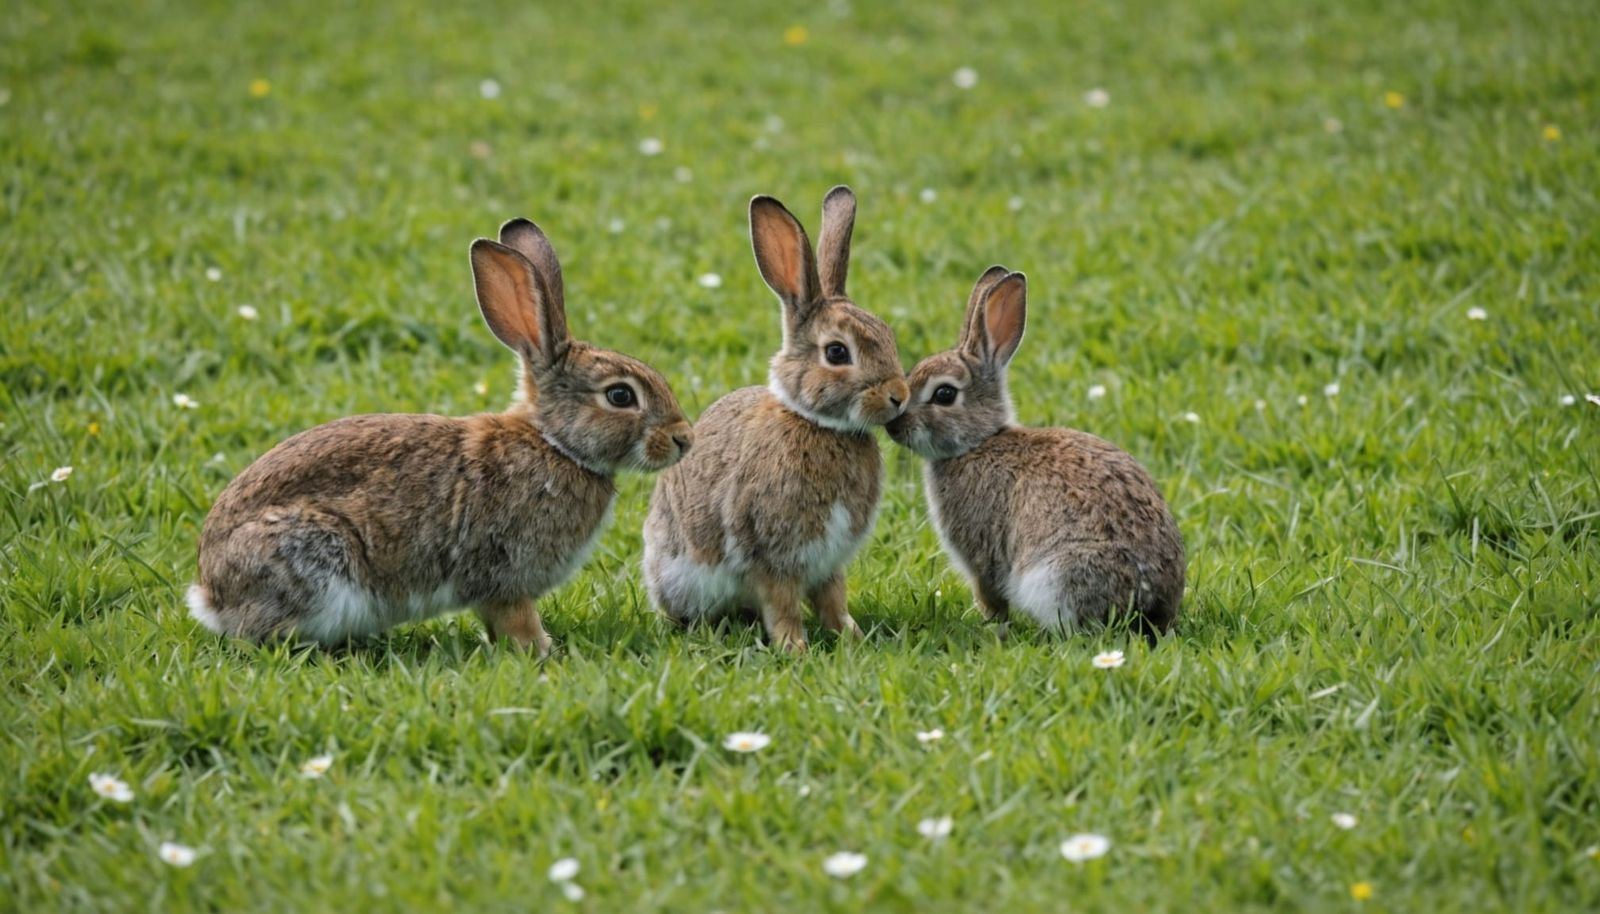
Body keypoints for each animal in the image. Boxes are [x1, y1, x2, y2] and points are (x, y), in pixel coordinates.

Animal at [185, 218, 693, 654]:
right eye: (620, 396)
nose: (683, 439)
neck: (554, 444)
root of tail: (210, 594)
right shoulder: (503, 574)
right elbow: (516, 618)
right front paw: (542, 651)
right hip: (314, 556)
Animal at [642, 186, 910, 653]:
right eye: (837, 352)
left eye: (888, 335)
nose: (899, 395)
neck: (819, 424)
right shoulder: (770, 554)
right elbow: (783, 605)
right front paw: (795, 649)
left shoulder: (828, 561)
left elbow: (833, 600)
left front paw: (853, 637)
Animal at [885, 267, 1185, 639]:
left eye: (944, 394)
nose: (892, 425)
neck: (979, 442)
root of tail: (1149, 601)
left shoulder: (982, 553)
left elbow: (990, 591)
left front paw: (991, 624)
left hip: (1055, 578)